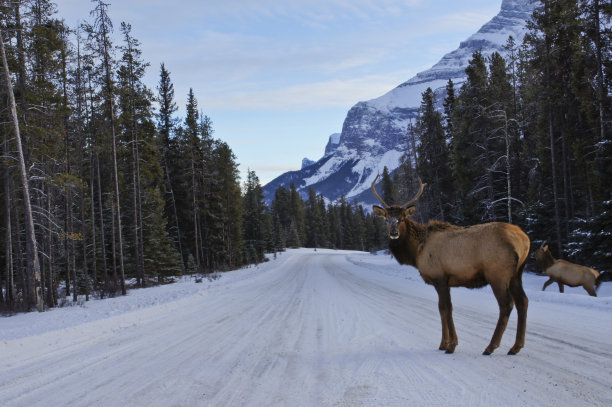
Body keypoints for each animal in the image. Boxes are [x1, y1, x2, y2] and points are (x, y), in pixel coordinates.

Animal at [370, 177, 532, 356]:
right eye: (386, 219)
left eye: (402, 218)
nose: (394, 233)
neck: (416, 252)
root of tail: (524, 239)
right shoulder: (447, 281)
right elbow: (446, 309)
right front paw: (446, 343)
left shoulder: (439, 277)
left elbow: (444, 308)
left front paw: (449, 345)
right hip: (517, 273)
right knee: (523, 301)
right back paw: (516, 346)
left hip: (497, 274)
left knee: (506, 304)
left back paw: (491, 346)